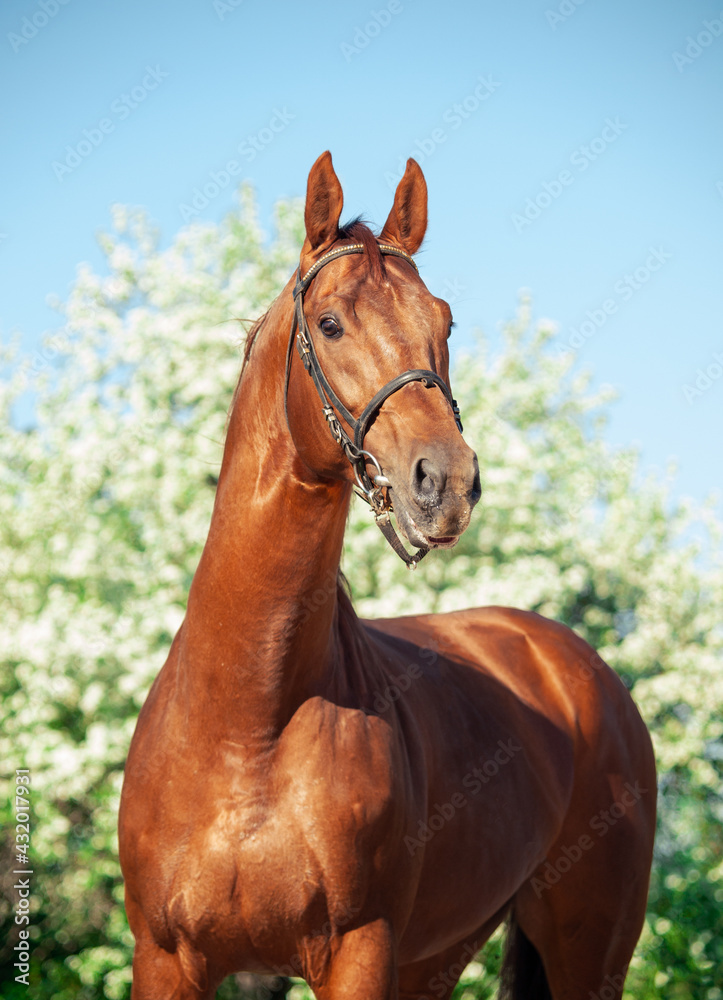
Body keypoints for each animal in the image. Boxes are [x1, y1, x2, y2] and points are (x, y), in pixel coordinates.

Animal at [118, 151, 656, 999]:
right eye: (330, 323)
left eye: (444, 322)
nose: (445, 481)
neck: (247, 726)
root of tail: (579, 668)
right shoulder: (166, 958)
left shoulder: (359, 951)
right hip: (440, 955)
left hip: (589, 953)